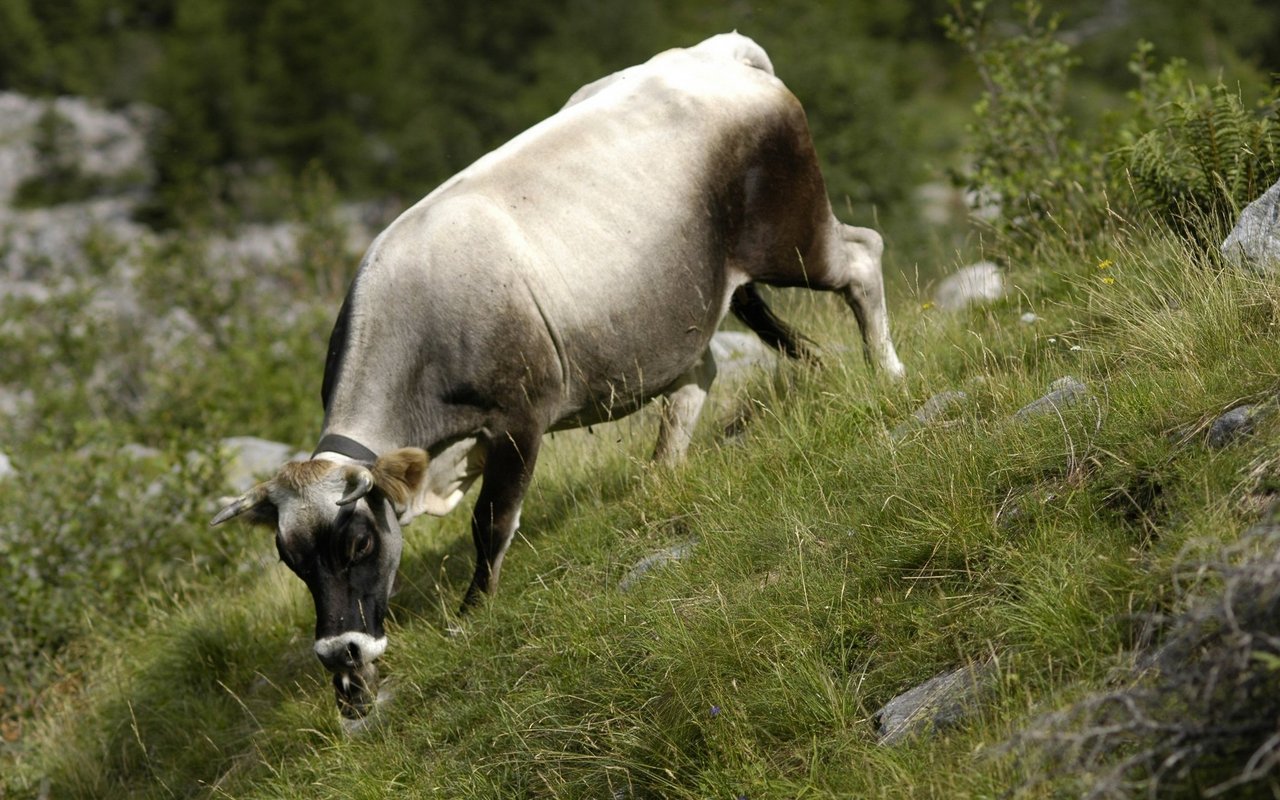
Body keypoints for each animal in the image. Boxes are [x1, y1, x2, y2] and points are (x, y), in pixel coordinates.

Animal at [209, 32, 906, 716]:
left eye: (357, 544)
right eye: (291, 560)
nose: (340, 652)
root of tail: (719, 51)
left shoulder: (519, 419)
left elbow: (491, 522)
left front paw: (472, 615)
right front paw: (358, 683)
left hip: (793, 234)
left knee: (862, 257)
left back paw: (886, 373)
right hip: (693, 294)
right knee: (709, 365)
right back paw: (669, 471)